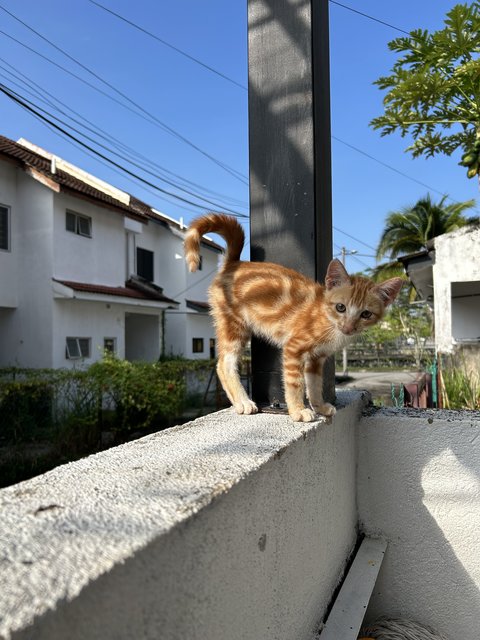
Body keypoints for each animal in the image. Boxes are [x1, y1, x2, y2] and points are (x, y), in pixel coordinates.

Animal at [186, 215, 404, 422]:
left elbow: (315, 385)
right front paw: (298, 410)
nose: (349, 327)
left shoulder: (316, 359)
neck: (326, 319)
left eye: (366, 314)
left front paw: (320, 406)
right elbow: (295, 383)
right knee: (224, 364)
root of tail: (234, 263)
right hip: (233, 325)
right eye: (340, 307)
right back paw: (243, 401)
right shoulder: (293, 348)